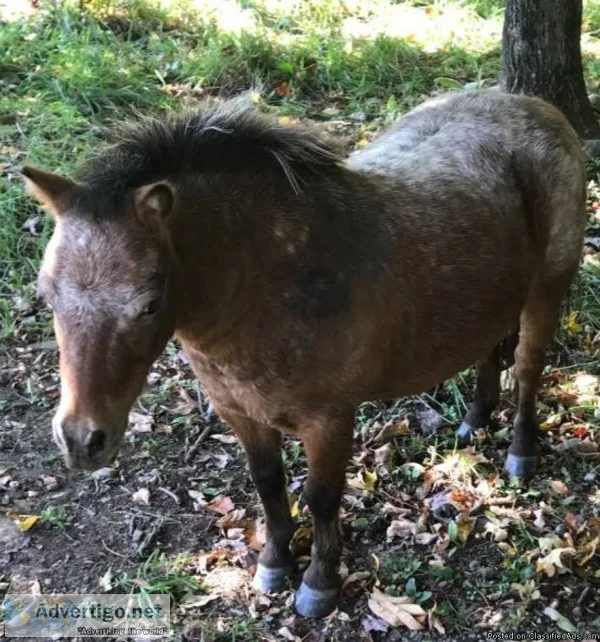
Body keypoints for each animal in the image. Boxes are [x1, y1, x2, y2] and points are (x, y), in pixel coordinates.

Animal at [23, 89, 586, 618]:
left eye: (149, 303)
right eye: (46, 292)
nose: (81, 439)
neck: (272, 281)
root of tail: (532, 105)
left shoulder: (329, 422)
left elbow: (321, 498)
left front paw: (319, 583)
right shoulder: (240, 413)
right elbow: (268, 485)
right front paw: (274, 564)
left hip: (547, 290)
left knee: (528, 370)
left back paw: (520, 451)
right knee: (491, 350)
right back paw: (474, 419)